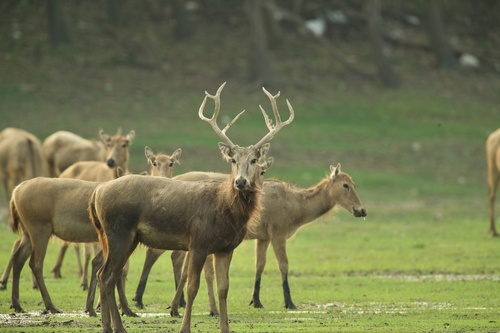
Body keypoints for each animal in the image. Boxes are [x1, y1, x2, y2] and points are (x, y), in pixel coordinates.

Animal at [88, 82, 294, 332]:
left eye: (254, 160)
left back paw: (111, 326)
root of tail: (97, 193)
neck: (225, 211)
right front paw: (184, 326)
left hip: (117, 236)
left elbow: (224, 288)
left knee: (105, 275)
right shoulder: (198, 242)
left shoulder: (226, 248)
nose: (241, 181)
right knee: (107, 275)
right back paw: (115, 326)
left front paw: (225, 327)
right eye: (233, 160)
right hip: (118, 232)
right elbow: (192, 287)